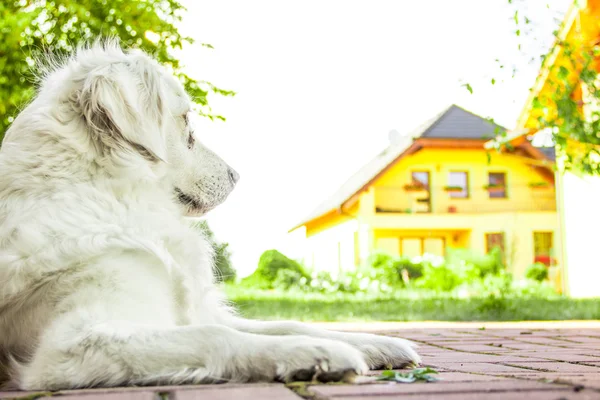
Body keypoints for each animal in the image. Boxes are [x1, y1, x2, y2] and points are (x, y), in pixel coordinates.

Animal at [0, 41, 422, 390]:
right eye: (187, 121)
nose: (237, 176)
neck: (115, 193)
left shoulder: (200, 310)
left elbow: (286, 324)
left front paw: (377, 343)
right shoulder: (75, 342)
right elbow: (218, 336)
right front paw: (318, 355)